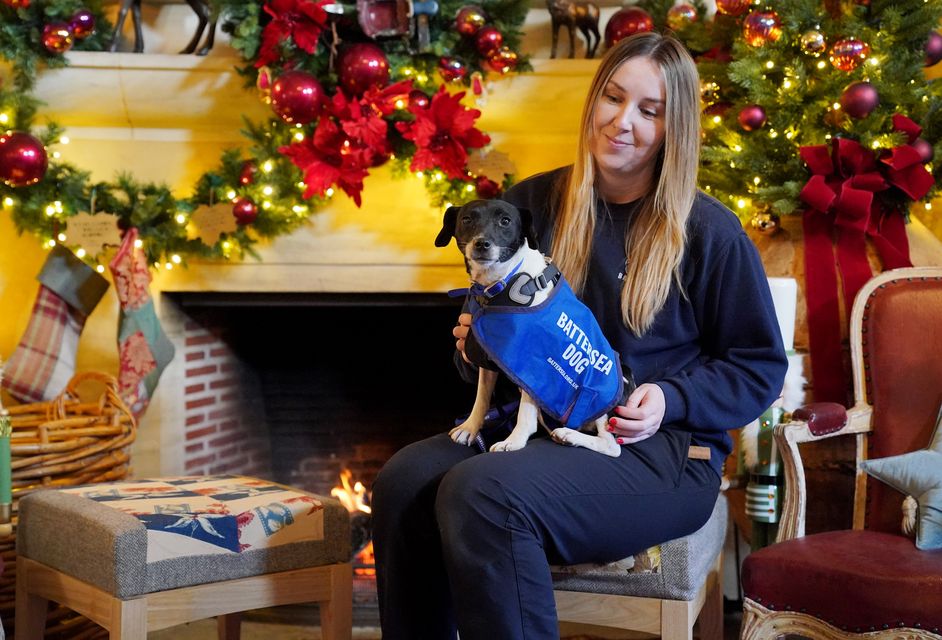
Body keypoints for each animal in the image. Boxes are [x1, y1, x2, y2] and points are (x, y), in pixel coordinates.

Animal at [436, 200, 636, 456]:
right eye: (467, 219)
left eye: (505, 221)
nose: (481, 243)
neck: (504, 283)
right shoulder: (489, 357)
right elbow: (481, 397)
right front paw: (470, 428)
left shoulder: (533, 364)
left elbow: (525, 413)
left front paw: (514, 441)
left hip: (603, 397)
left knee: (611, 445)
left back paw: (570, 436)